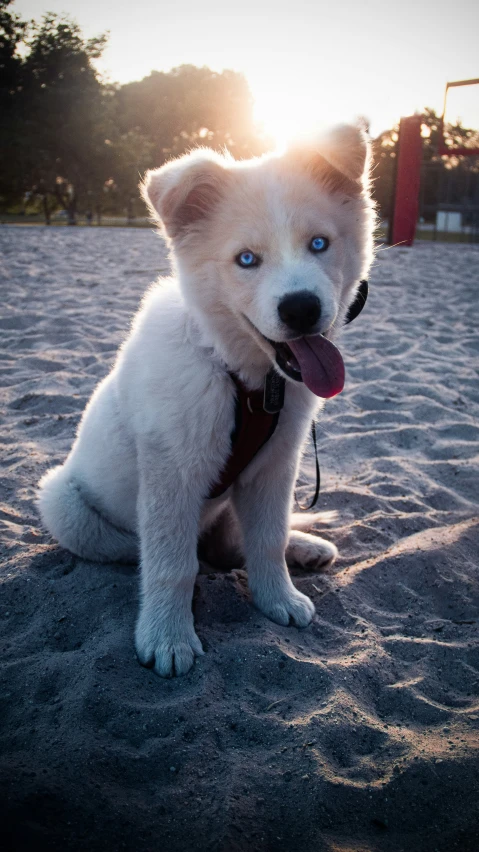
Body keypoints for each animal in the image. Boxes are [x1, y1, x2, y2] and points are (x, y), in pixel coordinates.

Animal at [36, 123, 376, 676]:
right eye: (246, 260)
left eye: (319, 244)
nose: (302, 309)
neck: (243, 378)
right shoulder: (172, 471)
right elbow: (172, 561)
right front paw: (168, 639)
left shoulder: (275, 465)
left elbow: (267, 539)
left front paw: (277, 600)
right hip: (61, 502)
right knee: (156, 551)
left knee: (237, 545)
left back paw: (304, 547)